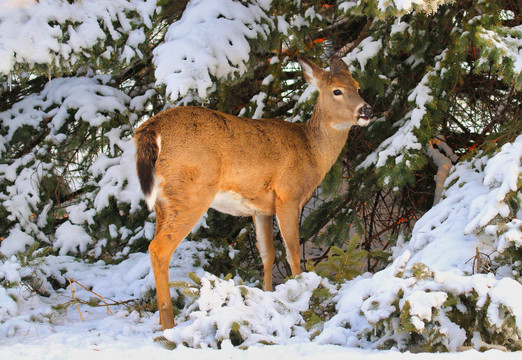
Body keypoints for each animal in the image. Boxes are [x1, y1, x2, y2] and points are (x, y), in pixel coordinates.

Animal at [134, 56, 370, 330]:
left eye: (358, 86)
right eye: (337, 91)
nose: (366, 110)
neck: (311, 150)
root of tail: (152, 127)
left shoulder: (261, 209)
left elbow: (267, 254)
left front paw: (268, 299)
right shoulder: (288, 196)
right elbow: (292, 251)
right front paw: (302, 299)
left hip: (164, 202)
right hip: (191, 192)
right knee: (159, 248)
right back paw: (168, 325)